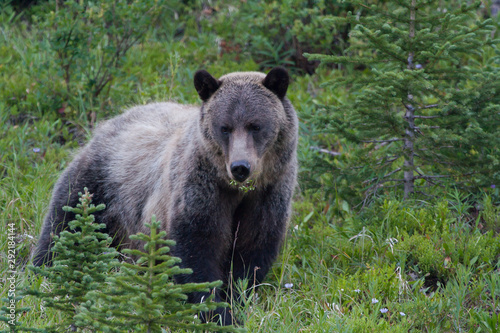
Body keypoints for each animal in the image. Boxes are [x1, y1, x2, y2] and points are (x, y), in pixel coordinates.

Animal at [33, 67, 298, 324]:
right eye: (225, 127)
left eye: (256, 126)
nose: (240, 167)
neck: (235, 189)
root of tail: (114, 119)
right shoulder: (199, 187)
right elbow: (197, 248)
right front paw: (217, 312)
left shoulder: (268, 194)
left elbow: (251, 252)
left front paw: (237, 302)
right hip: (101, 184)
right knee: (63, 224)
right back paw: (44, 269)